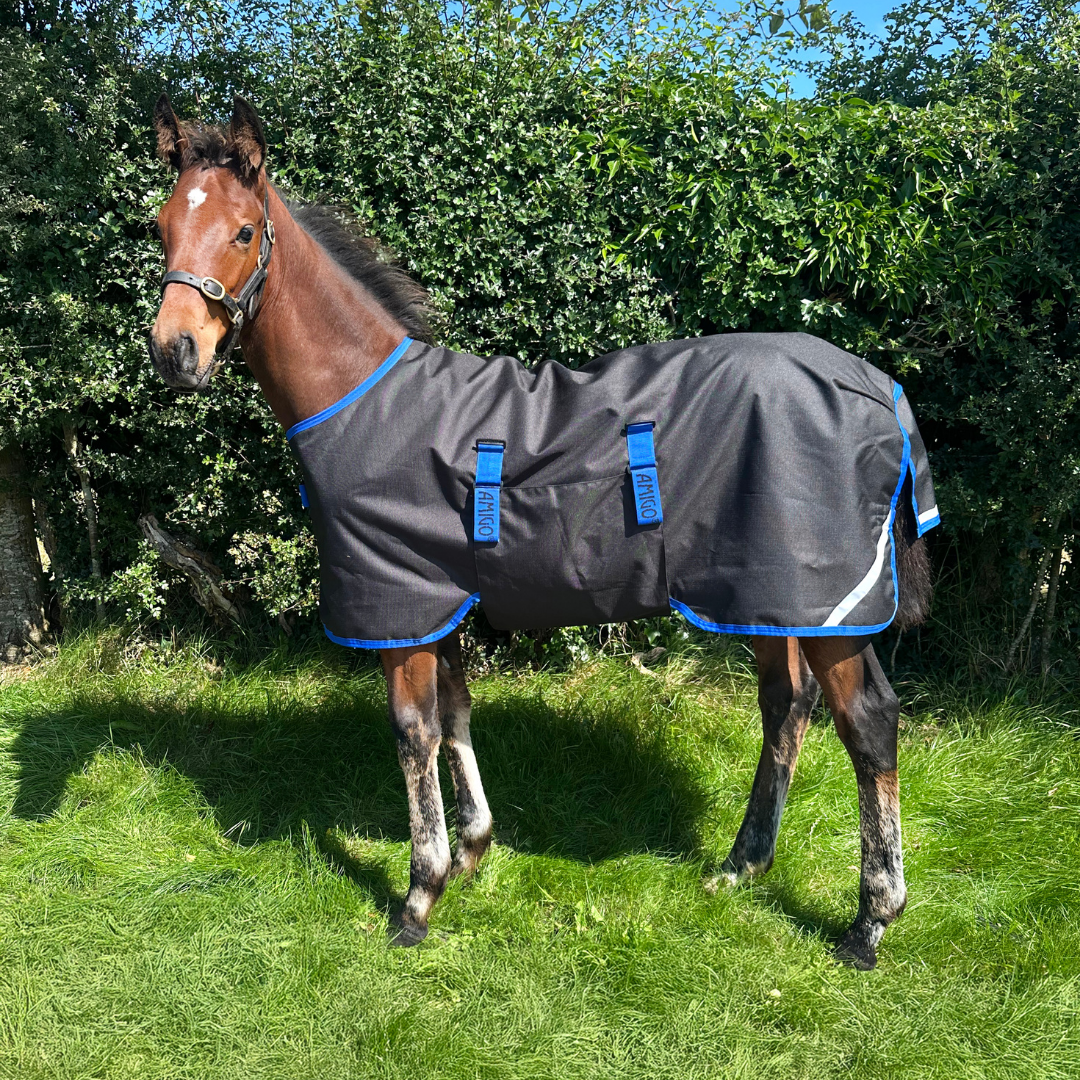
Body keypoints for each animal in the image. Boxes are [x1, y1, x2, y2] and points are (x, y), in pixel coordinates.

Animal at [148, 94, 937, 970]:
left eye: (243, 230)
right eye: (161, 226)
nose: (174, 351)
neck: (367, 399)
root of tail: (874, 385)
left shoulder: (401, 604)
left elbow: (414, 733)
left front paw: (418, 896)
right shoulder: (441, 601)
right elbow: (456, 713)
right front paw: (472, 850)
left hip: (832, 606)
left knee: (868, 726)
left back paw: (870, 920)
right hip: (766, 596)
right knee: (786, 706)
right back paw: (741, 866)